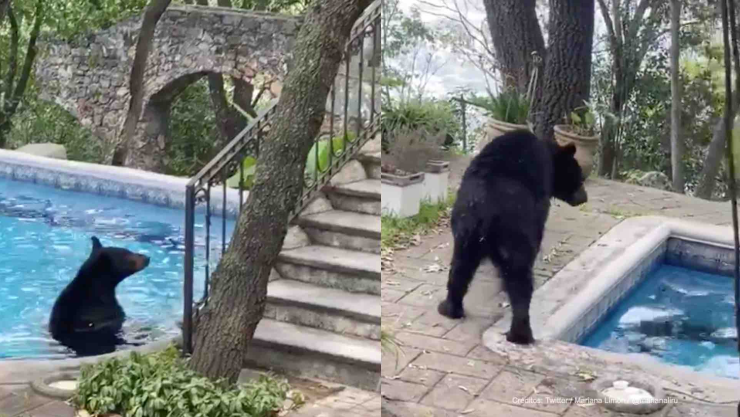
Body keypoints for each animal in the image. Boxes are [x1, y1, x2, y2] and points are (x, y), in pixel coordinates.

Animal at [438, 129, 587, 344]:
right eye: (580, 177)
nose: (584, 198)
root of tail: (484, 211)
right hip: (513, 233)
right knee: (519, 279)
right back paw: (521, 334)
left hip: (465, 231)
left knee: (459, 267)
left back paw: (450, 308)